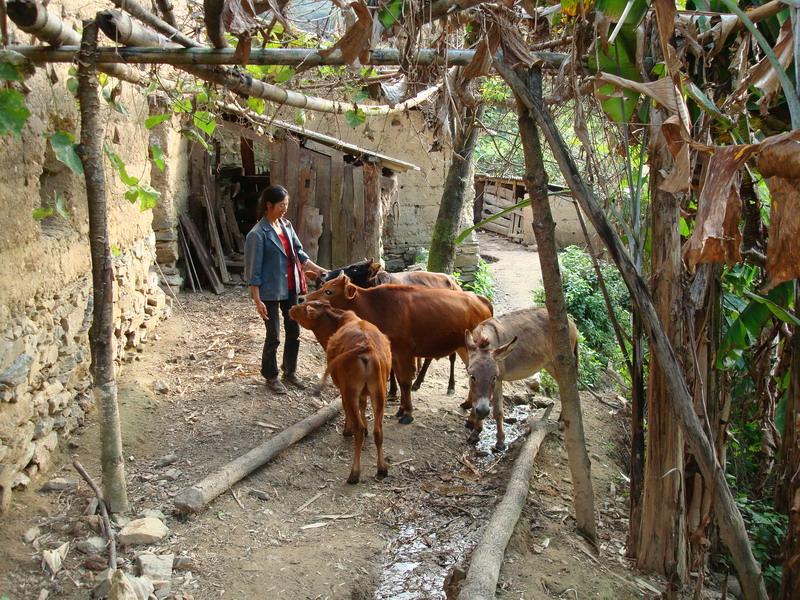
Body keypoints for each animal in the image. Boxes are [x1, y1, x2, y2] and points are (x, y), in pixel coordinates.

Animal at [290, 300, 392, 482]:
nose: (291, 308)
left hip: (350, 391)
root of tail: (366, 348)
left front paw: (346, 430)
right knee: (378, 430)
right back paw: (382, 469)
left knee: (358, 428)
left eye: (303, 308)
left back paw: (354, 473)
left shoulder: (343, 390)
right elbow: (363, 406)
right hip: (380, 391)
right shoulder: (363, 393)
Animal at [304, 274, 494, 424]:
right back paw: (467, 403)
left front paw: (408, 413)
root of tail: (481, 299)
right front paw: (401, 409)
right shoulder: (394, 353)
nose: (304, 299)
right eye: (323, 286)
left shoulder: (404, 352)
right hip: (464, 347)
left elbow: (405, 381)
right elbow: (400, 381)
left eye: (329, 291)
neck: (377, 307)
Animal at [466, 310, 580, 450]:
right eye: (472, 376)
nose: (483, 411)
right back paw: (563, 418)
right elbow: (474, 401)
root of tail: (571, 321)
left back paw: (564, 421)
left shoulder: (499, 380)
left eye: (494, 377)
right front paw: (475, 433)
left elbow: (498, 411)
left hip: (561, 362)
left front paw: (500, 442)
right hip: (550, 364)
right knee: (564, 384)